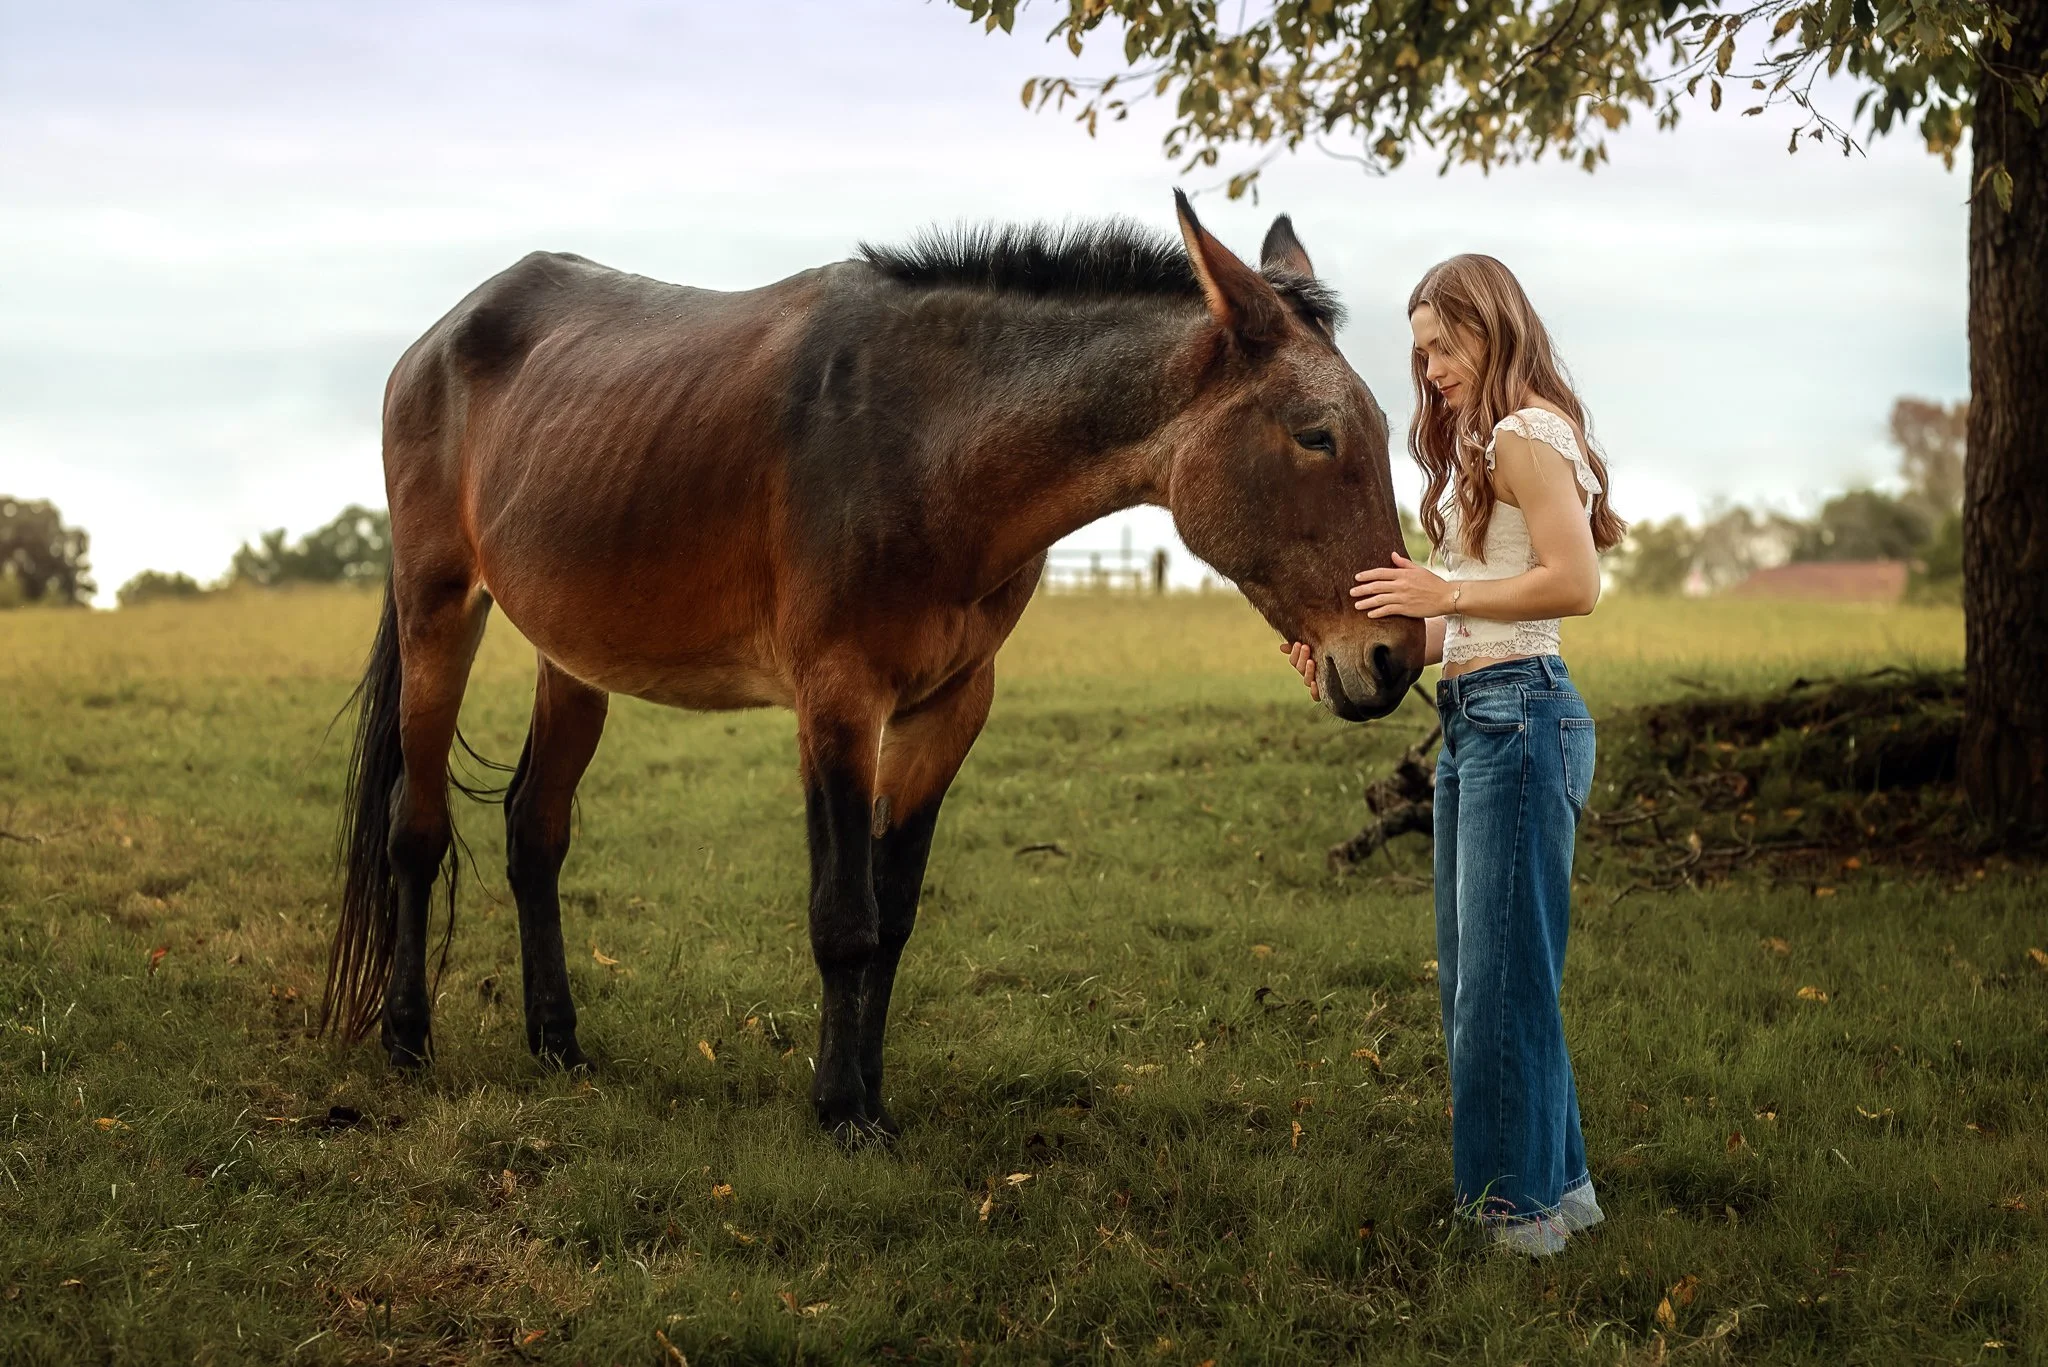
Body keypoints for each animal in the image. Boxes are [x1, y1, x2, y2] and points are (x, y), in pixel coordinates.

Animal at [322, 191, 1423, 1143]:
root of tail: (439, 336)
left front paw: (871, 1089)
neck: (931, 443)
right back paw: (407, 1038)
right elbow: (843, 916)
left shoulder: (946, 707)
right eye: (1315, 435)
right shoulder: (839, 701)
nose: (1394, 657)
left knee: (533, 831)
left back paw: (557, 1041)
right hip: (438, 608)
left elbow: (892, 918)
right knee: (415, 827)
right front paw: (840, 1111)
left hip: (574, 654)